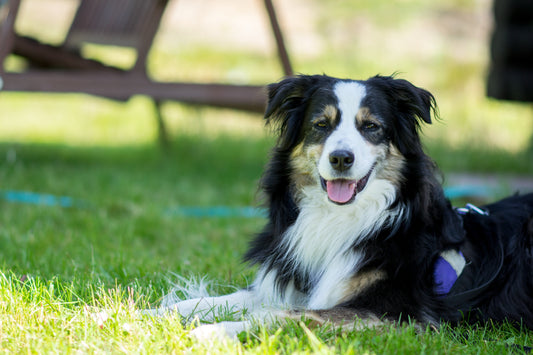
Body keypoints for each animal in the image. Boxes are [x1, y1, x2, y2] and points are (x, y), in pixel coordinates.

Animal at [148, 74, 532, 340]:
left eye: (371, 127)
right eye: (321, 125)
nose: (341, 158)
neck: (339, 217)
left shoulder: (399, 314)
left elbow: (283, 315)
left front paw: (215, 331)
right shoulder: (298, 281)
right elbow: (221, 299)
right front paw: (149, 313)